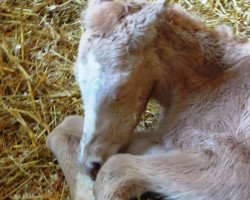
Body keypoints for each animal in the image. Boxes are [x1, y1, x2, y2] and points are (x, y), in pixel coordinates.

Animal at [47, 0, 250, 199]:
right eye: (78, 81)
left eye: (121, 89)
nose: (90, 162)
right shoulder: (162, 140)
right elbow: (62, 128)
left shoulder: (227, 165)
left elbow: (114, 171)